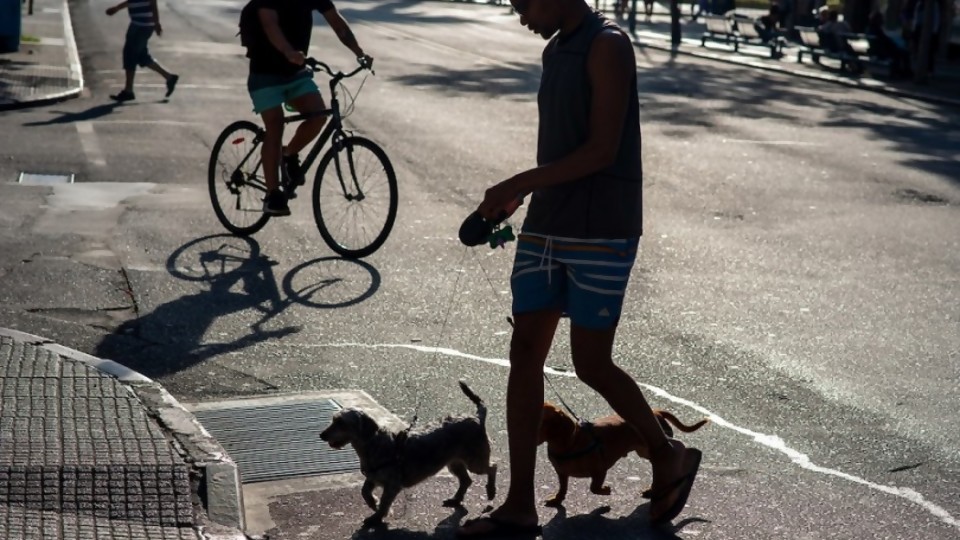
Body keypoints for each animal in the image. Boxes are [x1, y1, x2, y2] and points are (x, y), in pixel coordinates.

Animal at [320, 380, 498, 528]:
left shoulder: (392, 485)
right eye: (333, 420)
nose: (322, 435)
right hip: (454, 462)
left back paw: (491, 490)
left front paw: (377, 516)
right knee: (466, 480)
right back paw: (456, 499)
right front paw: (373, 503)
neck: (373, 443)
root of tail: (477, 417)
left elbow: (384, 503)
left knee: (492, 467)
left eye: (341, 423)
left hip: (475, 460)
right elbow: (364, 491)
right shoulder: (373, 476)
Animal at [536, 400, 708, 506]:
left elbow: (594, 487)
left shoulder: (600, 470)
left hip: (647, 450)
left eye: (540, 421)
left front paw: (605, 491)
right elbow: (562, 487)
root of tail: (656, 412)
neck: (570, 443)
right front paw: (557, 499)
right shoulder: (561, 473)